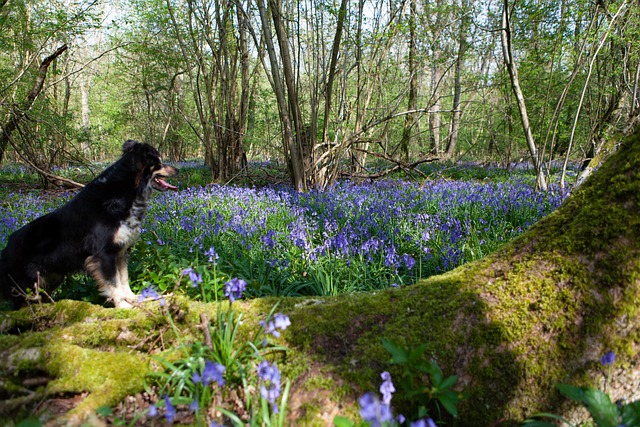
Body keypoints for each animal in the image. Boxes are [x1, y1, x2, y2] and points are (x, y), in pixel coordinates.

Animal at [0, 142, 178, 310]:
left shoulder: (120, 250)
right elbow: (113, 282)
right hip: (27, 283)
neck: (124, 193)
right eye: (159, 163)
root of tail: (6, 247)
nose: (177, 169)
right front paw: (122, 305)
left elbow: (123, 278)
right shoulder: (103, 254)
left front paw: (132, 298)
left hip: (51, 277)